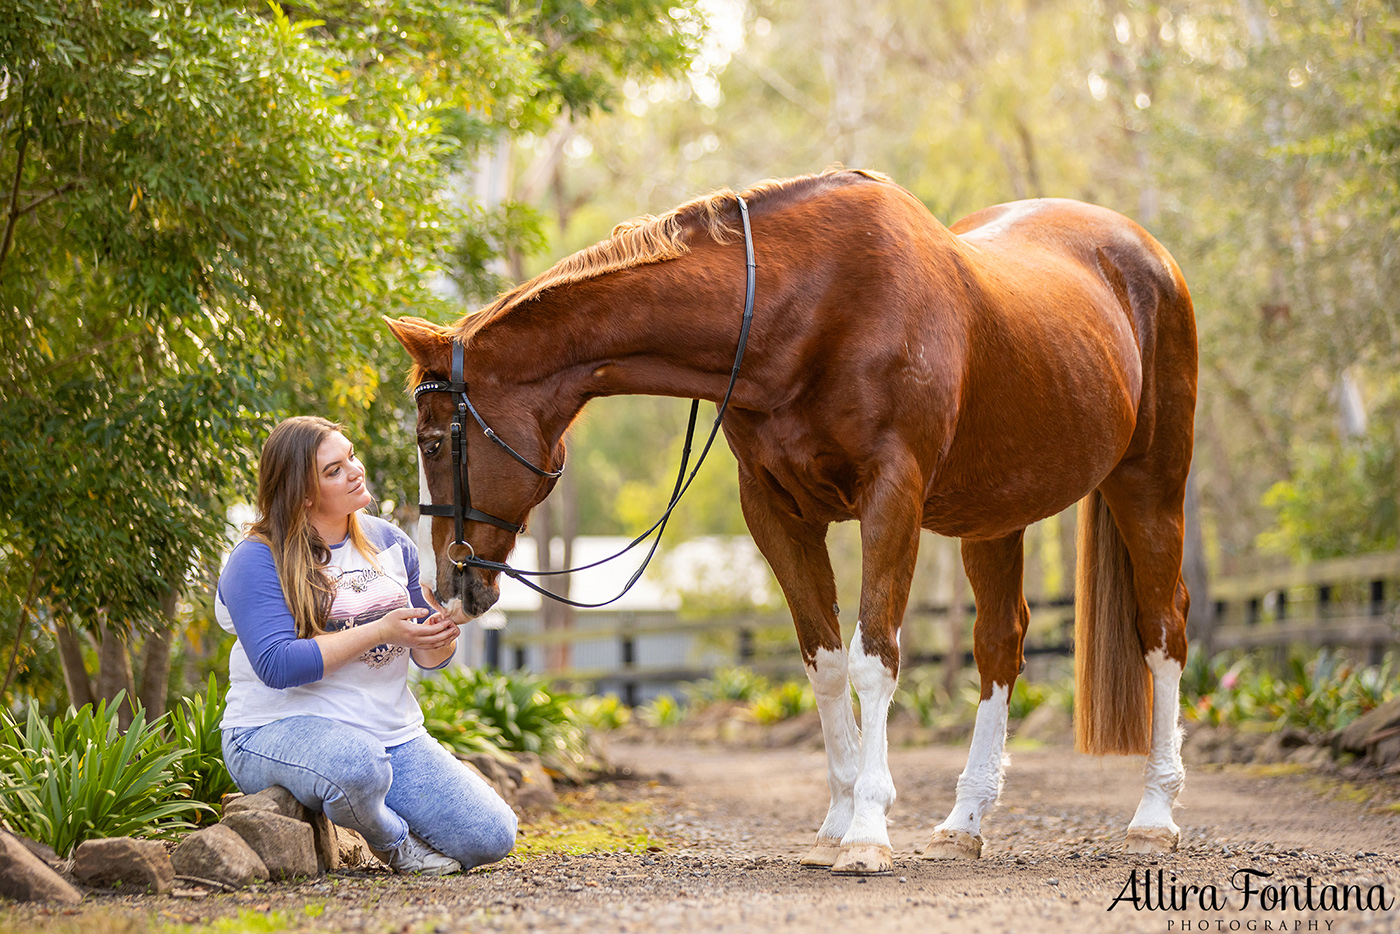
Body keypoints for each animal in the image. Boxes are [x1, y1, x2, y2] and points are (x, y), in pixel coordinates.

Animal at [389, 168, 1198, 879]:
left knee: (1163, 630)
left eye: (430, 441)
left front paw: (868, 833)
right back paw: (963, 824)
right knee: (1001, 644)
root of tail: (1148, 254)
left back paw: (1153, 816)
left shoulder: (891, 500)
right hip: (994, 516)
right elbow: (825, 661)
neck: (803, 305)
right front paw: (834, 825)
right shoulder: (777, 515)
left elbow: (874, 659)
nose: (449, 586)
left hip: (1150, 488)